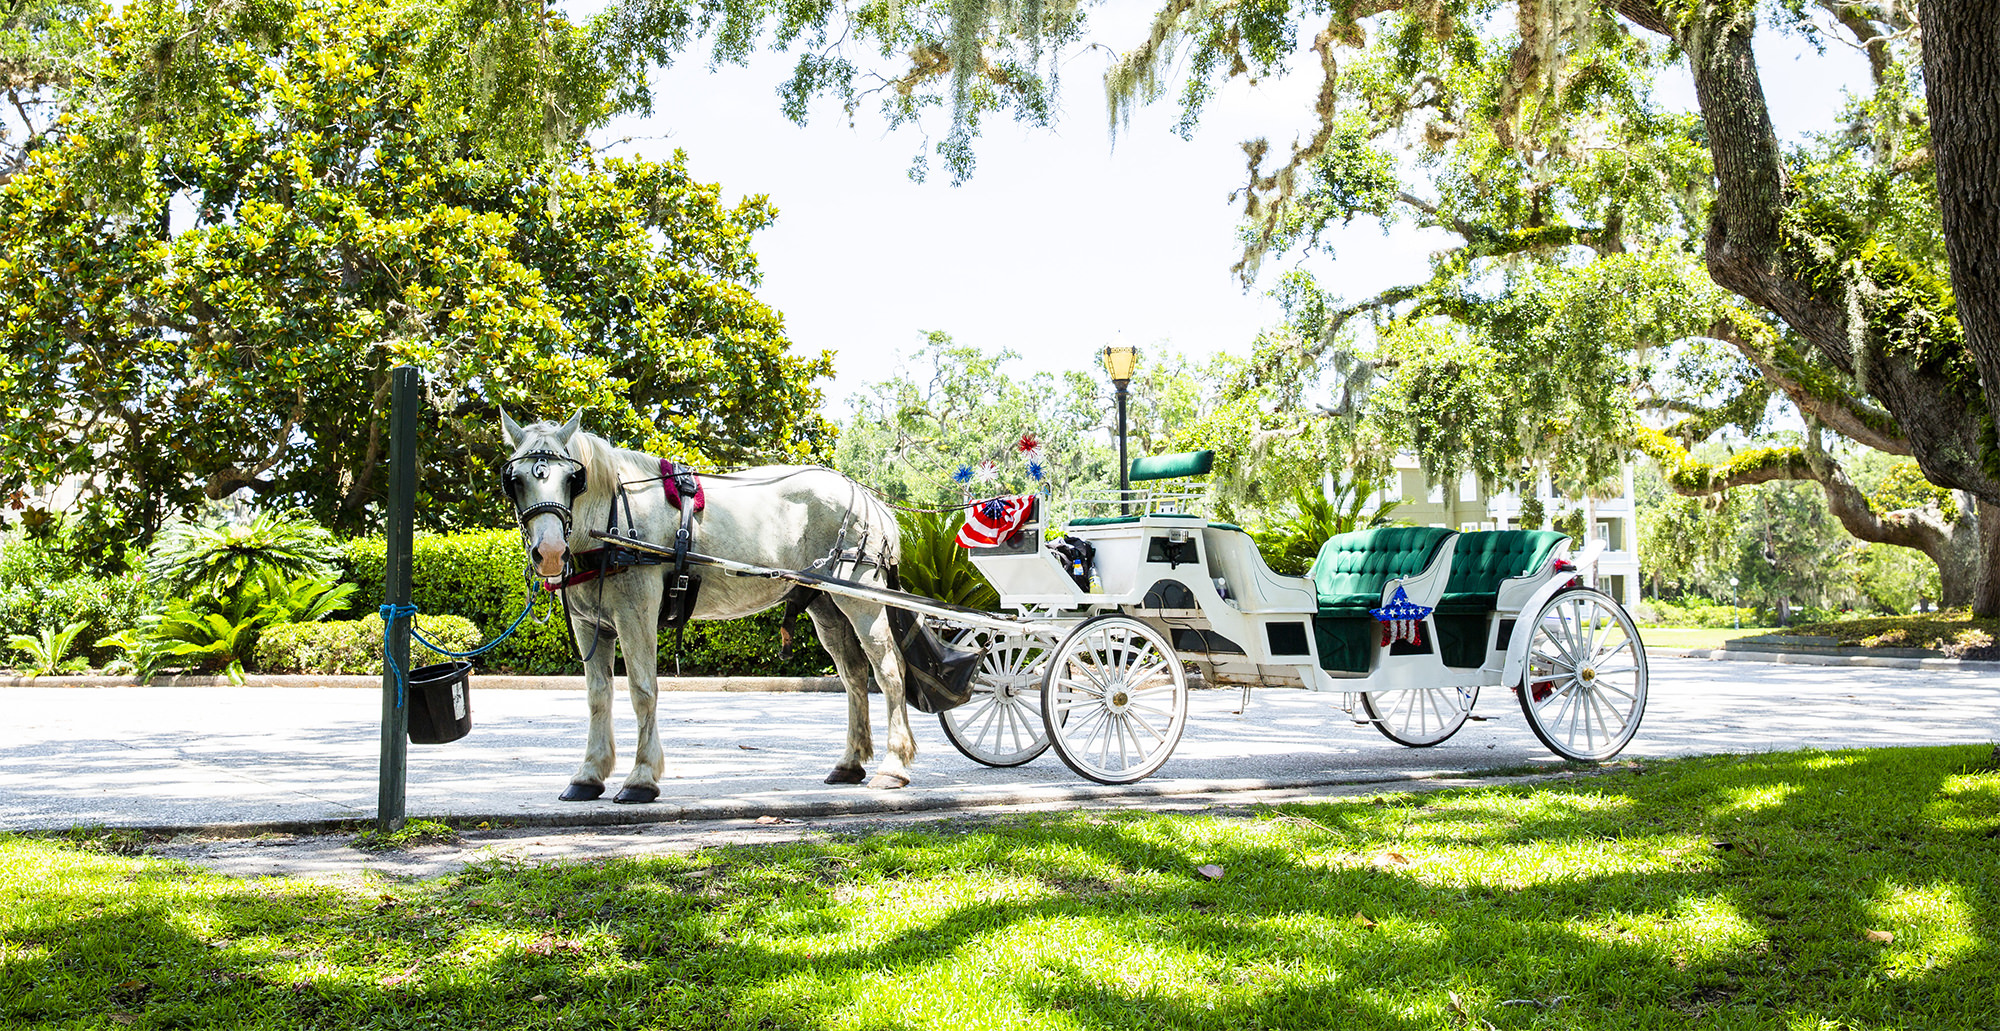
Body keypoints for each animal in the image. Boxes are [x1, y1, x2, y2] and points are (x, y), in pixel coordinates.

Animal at [500, 411, 916, 799]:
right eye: (515, 480)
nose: (549, 552)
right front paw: (588, 775)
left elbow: (642, 690)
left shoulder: (636, 615)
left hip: (861, 598)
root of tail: (868, 497)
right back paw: (850, 762)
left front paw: (641, 778)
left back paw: (893, 765)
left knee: (889, 672)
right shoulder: (591, 625)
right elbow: (598, 696)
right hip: (827, 606)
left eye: (573, 479)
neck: (612, 519)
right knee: (853, 675)